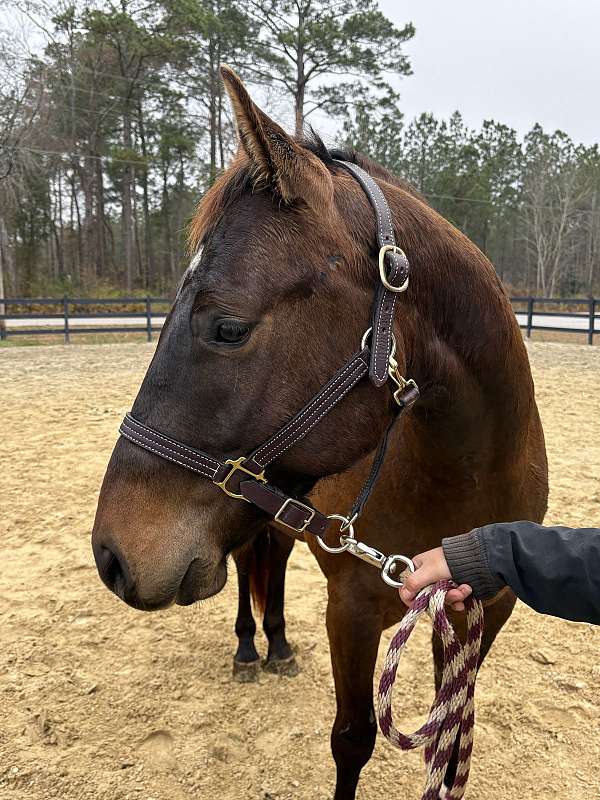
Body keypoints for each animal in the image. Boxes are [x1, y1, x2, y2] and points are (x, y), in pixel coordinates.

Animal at [90, 65, 548, 796]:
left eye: (228, 327)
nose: (112, 555)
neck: (467, 472)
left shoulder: (485, 606)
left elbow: (449, 745)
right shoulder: (353, 609)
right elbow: (352, 740)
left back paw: (276, 644)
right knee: (255, 565)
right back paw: (252, 647)